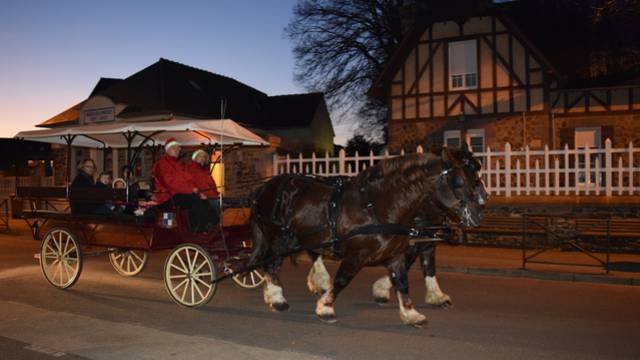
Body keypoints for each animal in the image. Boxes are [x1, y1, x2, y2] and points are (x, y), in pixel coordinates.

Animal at [248, 148, 482, 328]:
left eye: (477, 179)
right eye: (459, 181)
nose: (479, 212)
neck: (377, 205)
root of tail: (264, 187)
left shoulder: (398, 251)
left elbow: (405, 278)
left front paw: (411, 312)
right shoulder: (357, 253)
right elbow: (342, 279)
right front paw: (326, 307)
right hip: (279, 238)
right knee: (272, 265)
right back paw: (277, 298)